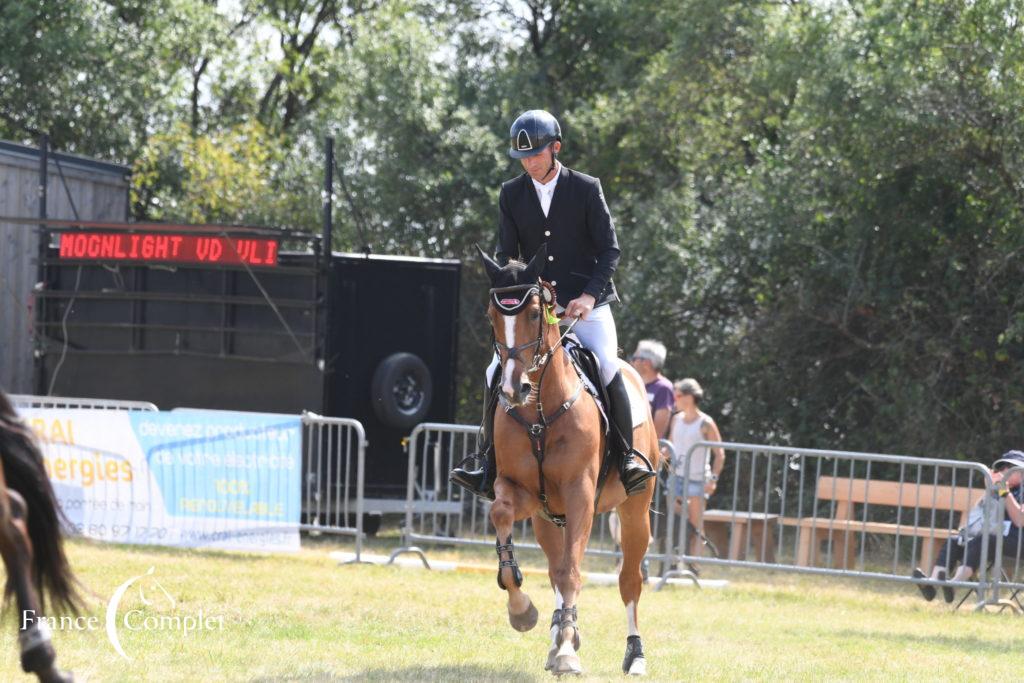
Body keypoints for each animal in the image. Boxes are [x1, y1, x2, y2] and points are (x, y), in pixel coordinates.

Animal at [477, 246, 659, 679]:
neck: (539, 412)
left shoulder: (580, 496)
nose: (514, 389)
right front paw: (522, 612)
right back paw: (558, 633)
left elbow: (573, 571)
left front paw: (566, 652)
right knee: (556, 568)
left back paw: (633, 654)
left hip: (635, 511)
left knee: (628, 580)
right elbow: (503, 517)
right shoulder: (519, 491)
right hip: (547, 517)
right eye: (492, 316)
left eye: (532, 314)